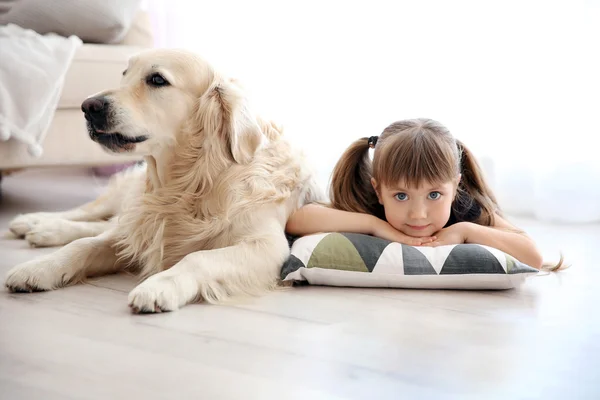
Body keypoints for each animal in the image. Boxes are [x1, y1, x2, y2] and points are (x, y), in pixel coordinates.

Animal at [4, 49, 324, 312]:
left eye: (157, 79)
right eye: (124, 73)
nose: (88, 106)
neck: (192, 181)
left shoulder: (267, 246)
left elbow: (199, 257)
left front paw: (159, 286)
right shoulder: (137, 230)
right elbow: (83, 245)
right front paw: (38, 268)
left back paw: (41, 231)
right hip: (127, 197)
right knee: (88, 213)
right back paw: (33, 222)